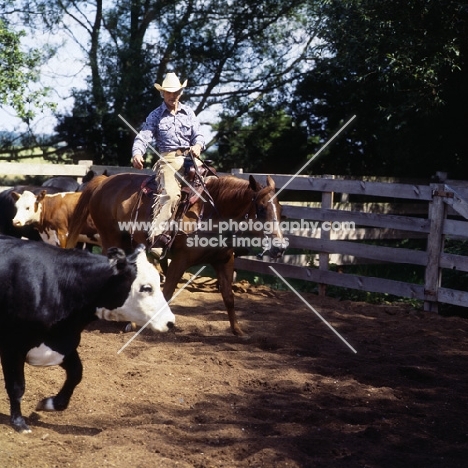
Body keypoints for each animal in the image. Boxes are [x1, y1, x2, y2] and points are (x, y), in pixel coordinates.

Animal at [0, 236, 176, 434]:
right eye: (146, 287)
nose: (170, 321)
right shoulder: (13, 347)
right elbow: (16, 387)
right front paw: (19, 422)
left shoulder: (63, 344)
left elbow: (77, 373)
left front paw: (50, 403)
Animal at [65, 172, 286, 336]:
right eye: (261, 209)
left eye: (280, 210)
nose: (279, 248)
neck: (211, 213)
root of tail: (104, 181)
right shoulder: (180, 258)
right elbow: (168, 291)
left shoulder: (224, 260)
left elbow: (228, 296)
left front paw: (238, 331)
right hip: (111, 238)